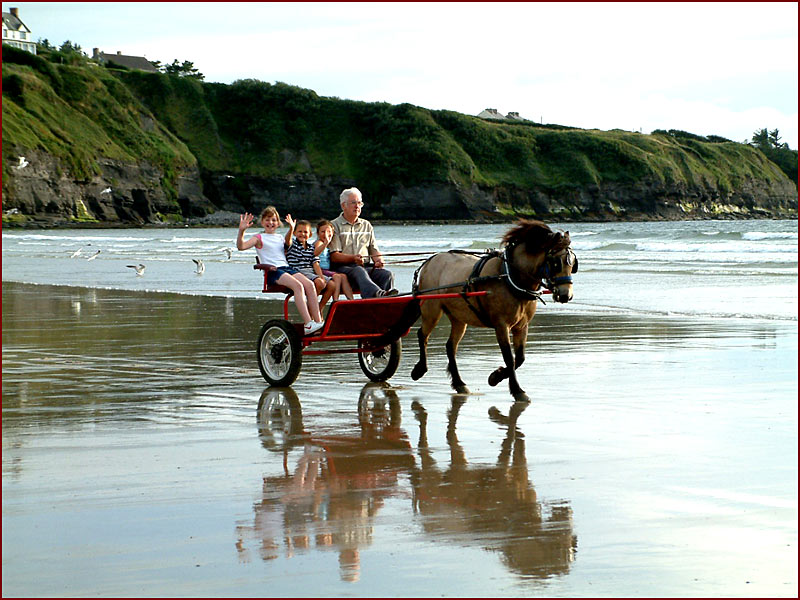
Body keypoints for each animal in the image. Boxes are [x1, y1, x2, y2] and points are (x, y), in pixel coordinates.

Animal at [412, 220, 576, 404]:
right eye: (556, 262)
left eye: (573, 263)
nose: (566, 295)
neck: (509, 276)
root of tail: (430, 260)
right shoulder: (501, 325)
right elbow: (509, 357)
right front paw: (517, 390)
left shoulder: (522, 326)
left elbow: (520, 357)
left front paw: (495, 377)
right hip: (431, 309)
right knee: (422, 335)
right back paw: (420, 369)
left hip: (458, 317)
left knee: (450, 346)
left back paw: (459, 383)